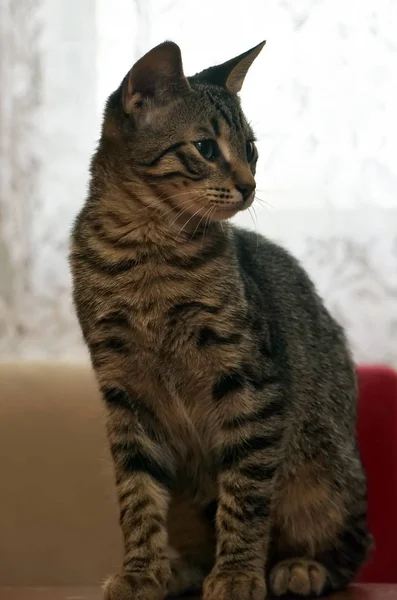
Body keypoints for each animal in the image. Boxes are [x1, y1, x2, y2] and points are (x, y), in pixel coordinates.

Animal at [69, 41, 370, 600]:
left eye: (250, 149)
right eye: (207, 148)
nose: (249, 186)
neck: (148, 249)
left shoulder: (251, 382)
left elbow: (245, 495)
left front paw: (235, 573)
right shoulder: (124, 393)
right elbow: (137, 496)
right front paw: (141, 571)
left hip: (324, 477)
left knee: (353, 545)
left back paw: (300, 567)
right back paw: (179, 568)